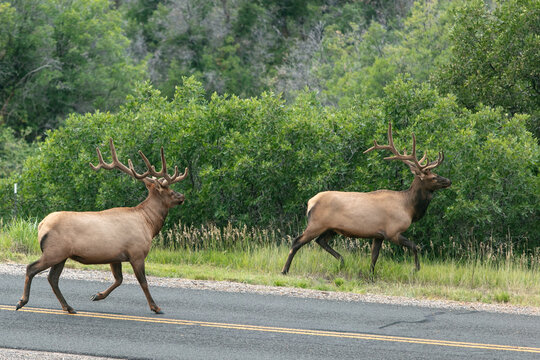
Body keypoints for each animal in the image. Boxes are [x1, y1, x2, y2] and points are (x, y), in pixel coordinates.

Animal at [15, 139, 188, 314]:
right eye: (170, 191)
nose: (182, 196)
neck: (149, 224)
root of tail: (41, 225)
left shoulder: (115, 256)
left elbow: (119, 279)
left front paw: (97, 295)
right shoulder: (137, 253)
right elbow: (143, 282)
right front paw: (155, 307)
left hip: (61, 255)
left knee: (52, 278)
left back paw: (68, 307)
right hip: (54, 251)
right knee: (32, 268)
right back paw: (22, 301)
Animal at [280, 124, 450, 276]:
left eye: (436, 174)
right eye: (433, 177)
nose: (449, 181)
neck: (409, 208)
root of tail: (310, 202)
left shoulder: (378, 235)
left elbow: (374, 257)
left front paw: (370, 275)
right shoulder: (392, 231)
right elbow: (415, 246)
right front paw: (416, 269)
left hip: (330, 228)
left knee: (320, 241)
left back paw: (342, 260)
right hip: (316, 223)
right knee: (297, 241)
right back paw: (285, 270)